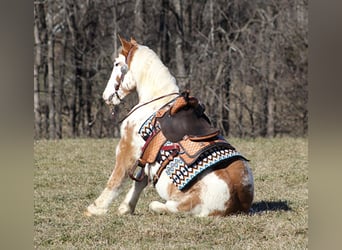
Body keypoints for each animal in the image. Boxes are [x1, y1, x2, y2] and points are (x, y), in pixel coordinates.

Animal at [84, 35, 252, 217]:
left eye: (116, 64)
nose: (105, 96)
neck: (155, 100)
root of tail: (236, 203)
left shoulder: (127, 148)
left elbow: (116, 179)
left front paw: (95, 209)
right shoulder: (147, 154)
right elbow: (139, 181)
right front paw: (126, 207)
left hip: (183, 205)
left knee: (162, 206)